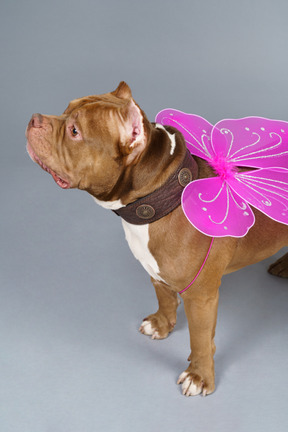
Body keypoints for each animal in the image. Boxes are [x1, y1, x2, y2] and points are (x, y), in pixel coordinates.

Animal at [26, 82, 288, 396]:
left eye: (74, 131)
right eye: (65, 109)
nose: (34, 119)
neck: (162, 197)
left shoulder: (201, 297)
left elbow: (200, 339)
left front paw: (200, 375)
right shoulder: (155, 270)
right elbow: (164, 298)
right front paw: (161, 325)